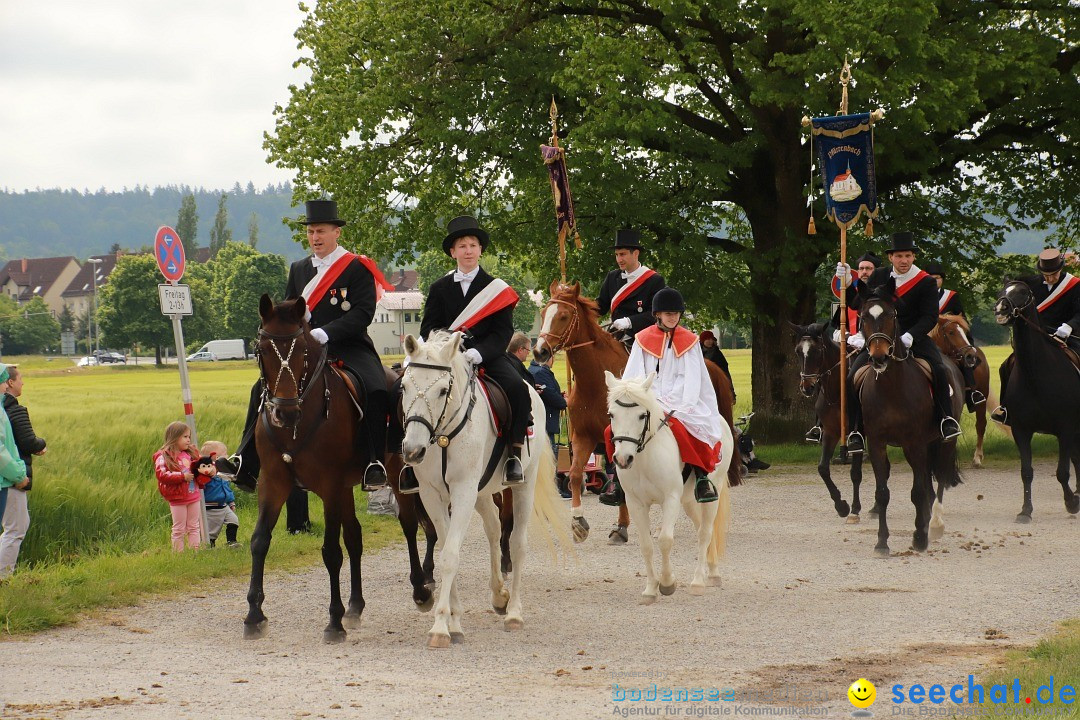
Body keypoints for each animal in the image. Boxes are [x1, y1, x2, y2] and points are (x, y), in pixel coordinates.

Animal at [397, 330, 565, 647]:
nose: (413, 451)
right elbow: (446, 549)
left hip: (522, 485)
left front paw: (441, 627)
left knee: (517, 543)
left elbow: (450, 555)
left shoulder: (463, 490)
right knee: (494, 529)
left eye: (442, 391)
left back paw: (513, 613)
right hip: (482, 492)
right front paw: (454, 621)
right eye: (403, 387)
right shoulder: (432, 494)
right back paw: (499, 596)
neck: (443, 436)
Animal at [533, 278, 743, 544]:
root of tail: (711, 366)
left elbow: (620, 481)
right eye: (543, 313)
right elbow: (575, 473)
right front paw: (578, 523)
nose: (540, 351)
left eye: (564, 315)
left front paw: (621, 526)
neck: (595, 383)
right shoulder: (583, 436)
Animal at [604, 371, 730, 604]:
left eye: (641, 416)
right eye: (611, 415)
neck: (644, 458)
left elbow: (664, 540)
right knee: (700, 528)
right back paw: (712, 571)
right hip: (688, 500)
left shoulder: (670, 499)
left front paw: (667, 583)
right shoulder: (636, 503)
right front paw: (650, 590)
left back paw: (698, 581)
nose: (623, 459)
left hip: (712, 494)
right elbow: (646, 545)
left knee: (705, 533)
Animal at [855, 293, 967, 557]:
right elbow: (883, 493)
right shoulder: (877, 444)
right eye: (864, 317)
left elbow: (918, 492)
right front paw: (882, 542)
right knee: (927, 480)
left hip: (943, 442)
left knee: (940, 478)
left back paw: (934, 524)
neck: (891, 387)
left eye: (891, 316)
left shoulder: (914, 443)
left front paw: (920, 537)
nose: (879, 357)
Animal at [928, 313, 993, 470]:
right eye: (951, 332)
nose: (971, 356)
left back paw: (977, 457)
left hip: (982, 398)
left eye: (964, 331)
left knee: (980, 425)